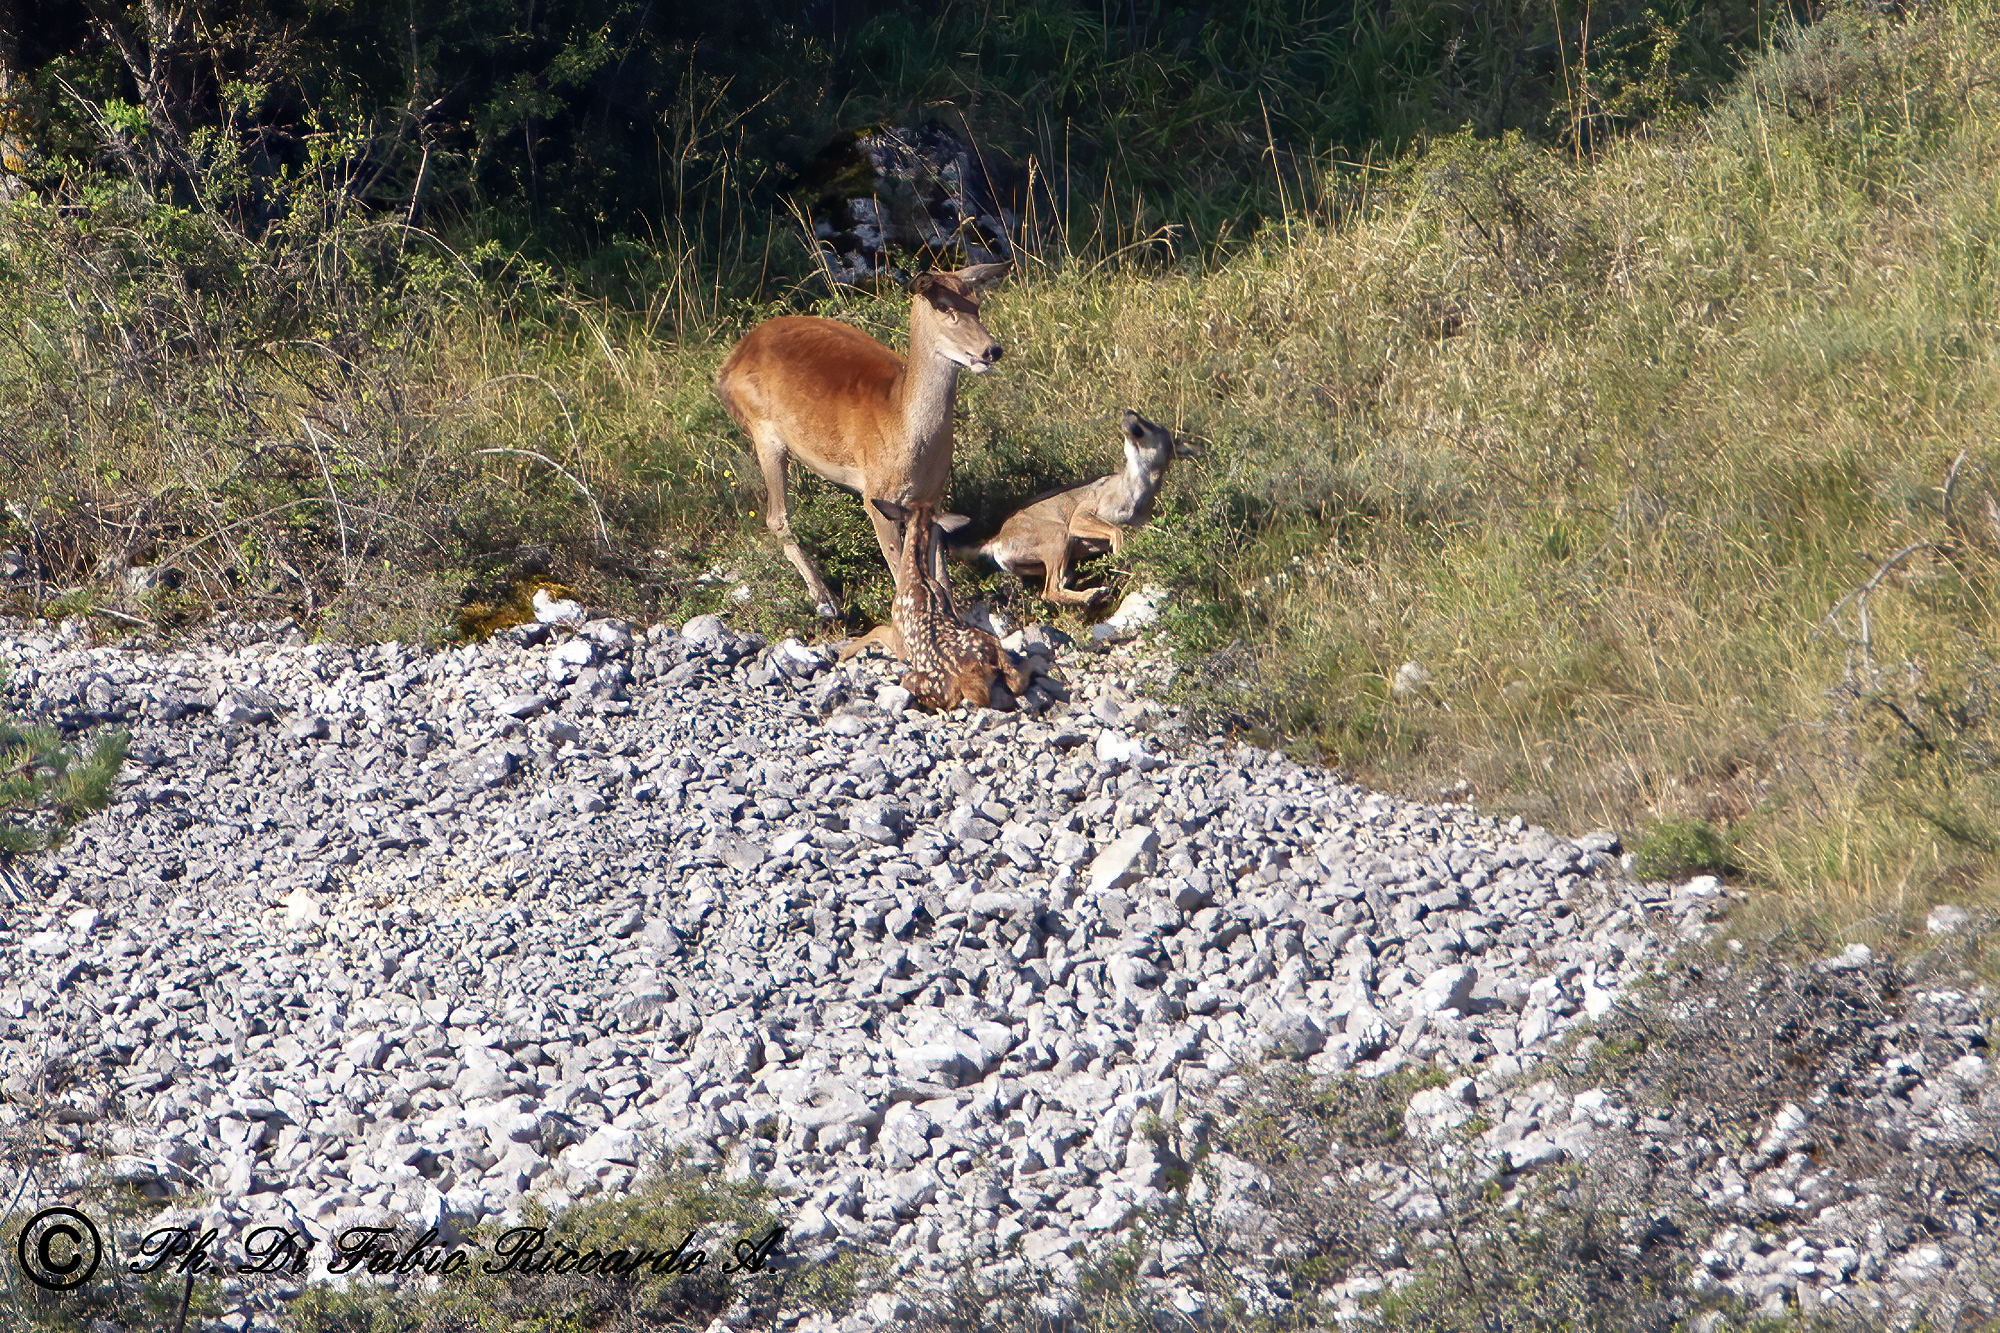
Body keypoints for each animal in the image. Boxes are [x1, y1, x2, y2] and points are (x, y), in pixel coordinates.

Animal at [713, 262, 1009, 618]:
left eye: (977, 304)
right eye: (943, 307)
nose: (991, 349)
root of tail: (728, 364)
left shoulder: (934, 495)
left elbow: (938, 569)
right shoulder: (876, 496)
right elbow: (899, 567)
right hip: (763, 430)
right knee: (777, 516)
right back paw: (825, 600)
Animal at [839, 498, 1030, 711]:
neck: (917, 576)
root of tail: (970, 677)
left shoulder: (899, 638)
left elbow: (877, 629)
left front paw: (844, 654)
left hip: (924, 683)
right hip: (993, 644)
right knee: (1016, 682)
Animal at [951, 408, 1195, 607]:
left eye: (1150, 424)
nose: (1128, 410)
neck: (1135, 488)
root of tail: (997, 538)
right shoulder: (1080, 518)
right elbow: (1117, 531)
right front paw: (1120, 558)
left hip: (1055, 559)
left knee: (1057, 585)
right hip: (1061, 535)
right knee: (1050, 592)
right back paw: (1092, 595)